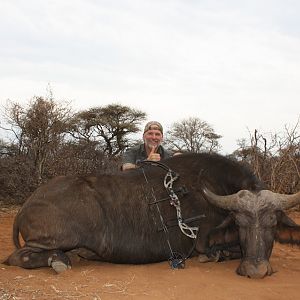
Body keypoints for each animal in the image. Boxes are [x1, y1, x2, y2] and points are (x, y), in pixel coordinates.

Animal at [4, 154, 300, 278]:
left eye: (273, 224)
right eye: (239, 224)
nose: (255, 271)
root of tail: (28, 203)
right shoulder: (204, 243)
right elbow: (222, 251)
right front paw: (217, 256)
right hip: (57, 239)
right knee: (17, 257)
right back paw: (59, 260)